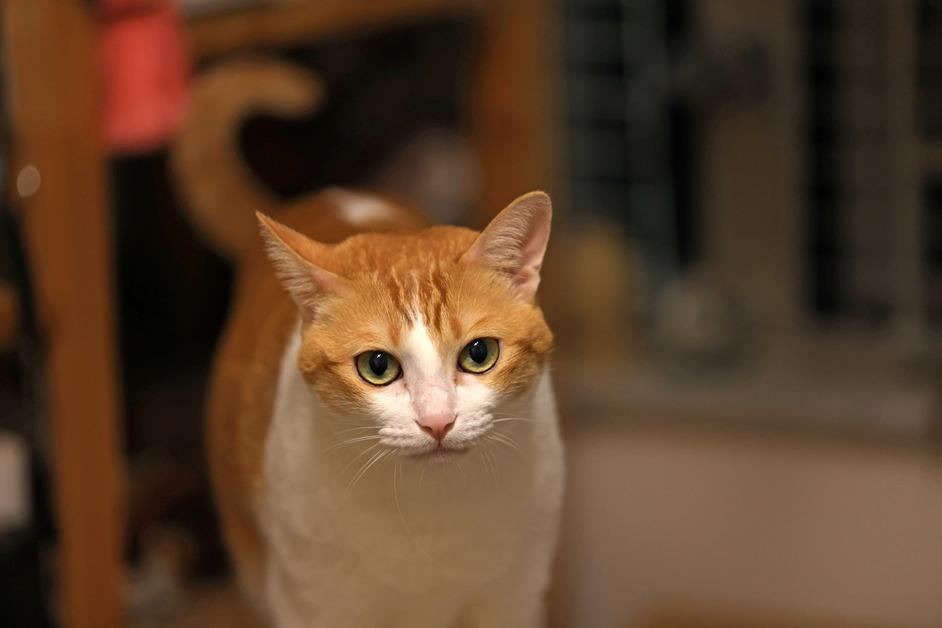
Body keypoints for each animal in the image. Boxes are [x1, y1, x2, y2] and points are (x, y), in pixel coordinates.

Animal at [173, 56, 564, 624]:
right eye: (378, 367)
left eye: (479, 354)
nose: (438, 422)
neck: (430, 519)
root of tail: (323, 197)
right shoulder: (310, 601)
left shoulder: (515, 596)